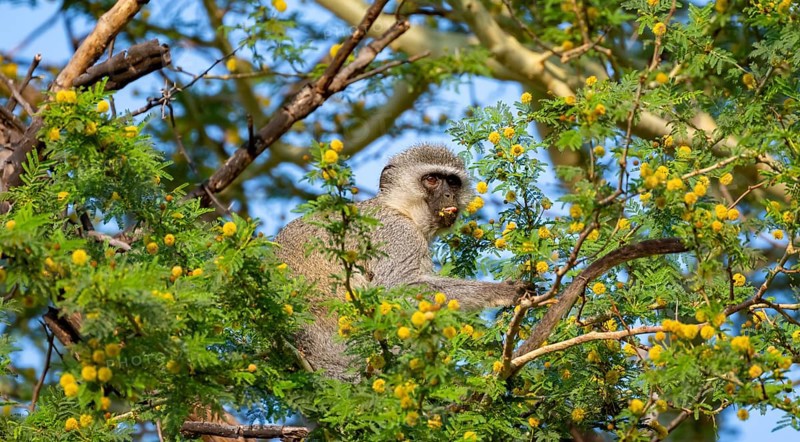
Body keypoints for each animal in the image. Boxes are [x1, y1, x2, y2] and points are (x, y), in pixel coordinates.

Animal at [274, 144, 527, 379]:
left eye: (453, 182)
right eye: (432, 180)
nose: (449, 196)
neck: (400, 208)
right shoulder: (397, 233)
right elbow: (397, 287)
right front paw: (501, 291)